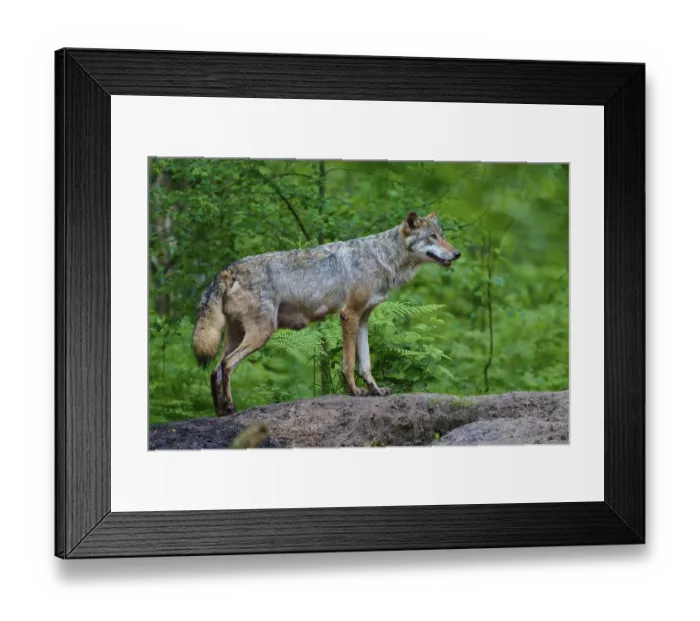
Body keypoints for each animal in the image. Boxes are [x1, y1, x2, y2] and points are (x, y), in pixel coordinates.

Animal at [192, 211, 461, 416]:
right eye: (433, 237)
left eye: (443, 236)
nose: (457, 254)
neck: (381, 257)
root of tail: (228, 270)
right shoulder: (349, 314)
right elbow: (349, 363)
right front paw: (355, 392)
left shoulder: (364, 319)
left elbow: (366, 364)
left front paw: (375, 391)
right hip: (261, 333)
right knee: (226, 365)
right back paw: (230, 406)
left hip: (239, 336)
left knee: (215, 371)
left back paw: (220, 412)